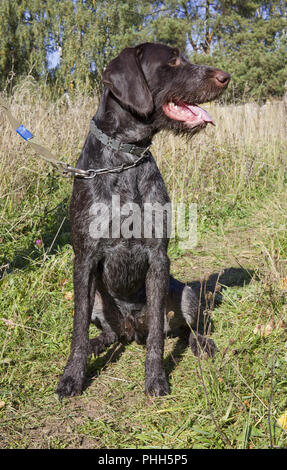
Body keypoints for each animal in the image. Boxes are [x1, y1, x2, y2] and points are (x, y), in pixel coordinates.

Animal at [56, 42, 232, 398]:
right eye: (173, 61)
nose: (225, 76)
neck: (126, 158)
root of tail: (130, 328)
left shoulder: (158, 256)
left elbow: (156, 341)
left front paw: (156, 377)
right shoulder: (84, 259)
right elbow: (77, 329)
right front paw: (72, 375)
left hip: (186, 294)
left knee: (186, 328)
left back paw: (201, 343)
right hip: (99, 303)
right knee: (108, 333)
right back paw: (97, 344)